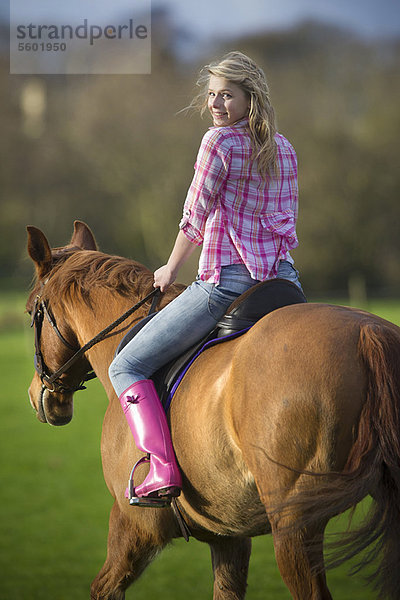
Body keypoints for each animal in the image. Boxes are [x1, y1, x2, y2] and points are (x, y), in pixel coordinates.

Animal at [25, 221, 400, 600]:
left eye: (31, 313)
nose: (35, 395)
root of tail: (369, 333)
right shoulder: (229, 536)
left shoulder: (133, 525)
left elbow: (103, 589)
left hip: (294, 526)